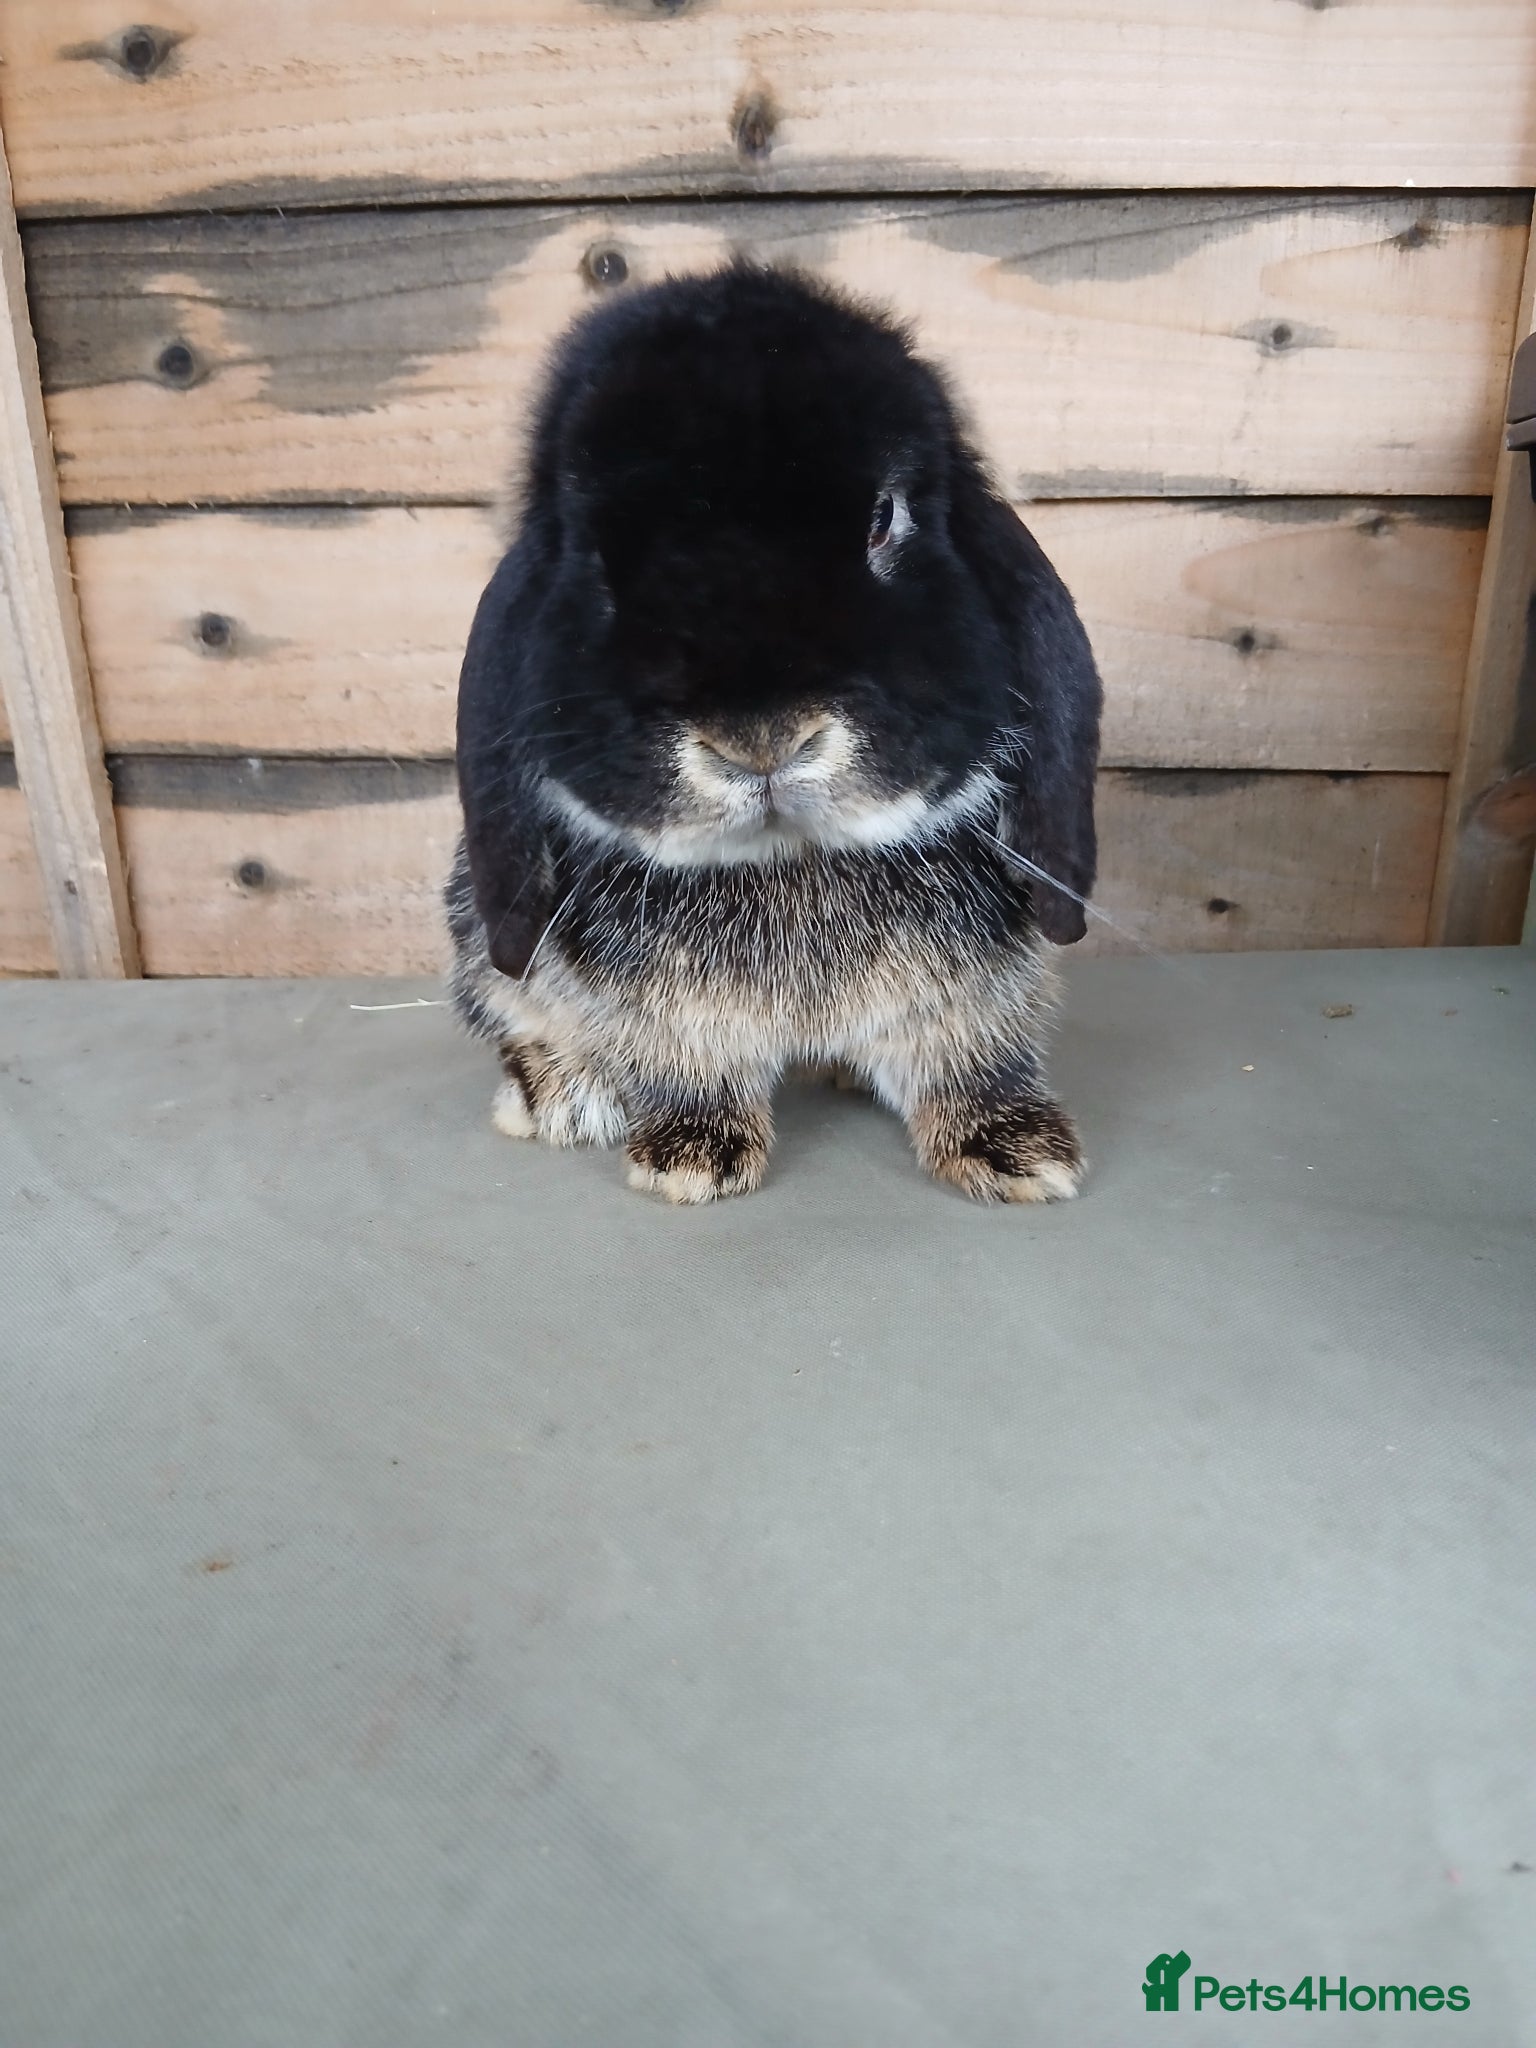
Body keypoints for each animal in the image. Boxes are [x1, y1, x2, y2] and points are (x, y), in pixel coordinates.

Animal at [446, 262, 1102, 1204]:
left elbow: (973, 1051)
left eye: (884, 519)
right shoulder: (663, 1007)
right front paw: (691, 1159)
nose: (760, 740)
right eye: (599, 558)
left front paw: (1018, 1152)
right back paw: (560, 1095)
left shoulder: (976, 986)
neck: (791, 856)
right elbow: (684, 1060)